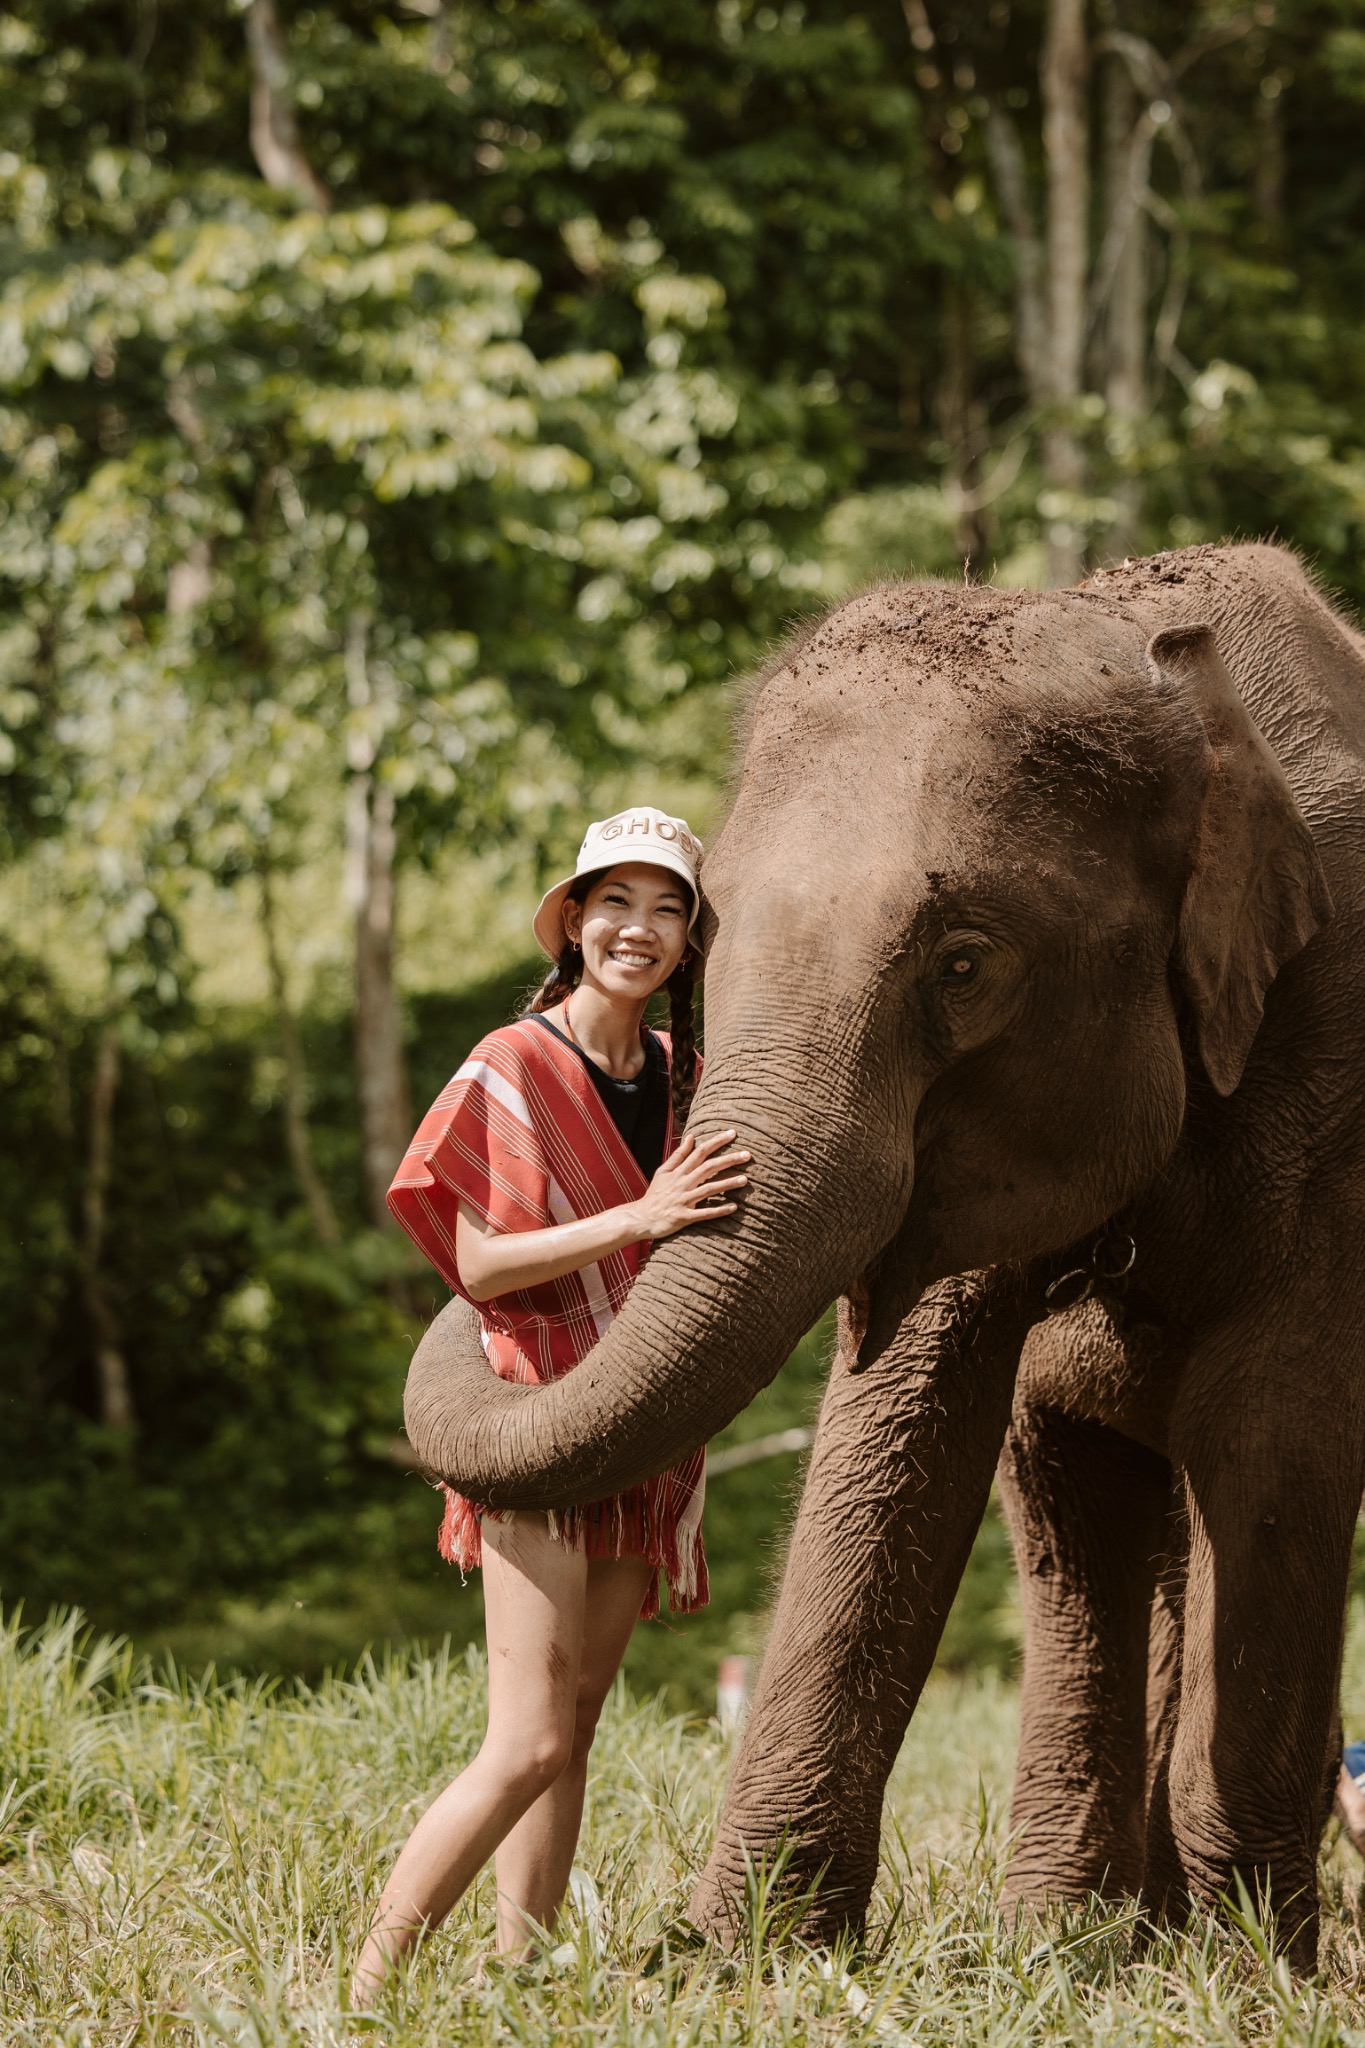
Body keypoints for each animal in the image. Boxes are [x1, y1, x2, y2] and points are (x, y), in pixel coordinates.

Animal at [403, 542, 1365, 1967]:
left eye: (963, 963)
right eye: (705, 933)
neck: (1154, 657)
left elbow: (1271, 1431)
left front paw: (1262, 1980)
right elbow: (915, 1405)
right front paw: (741, 1960)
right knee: (1076, 1489)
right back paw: (1086, 1938)